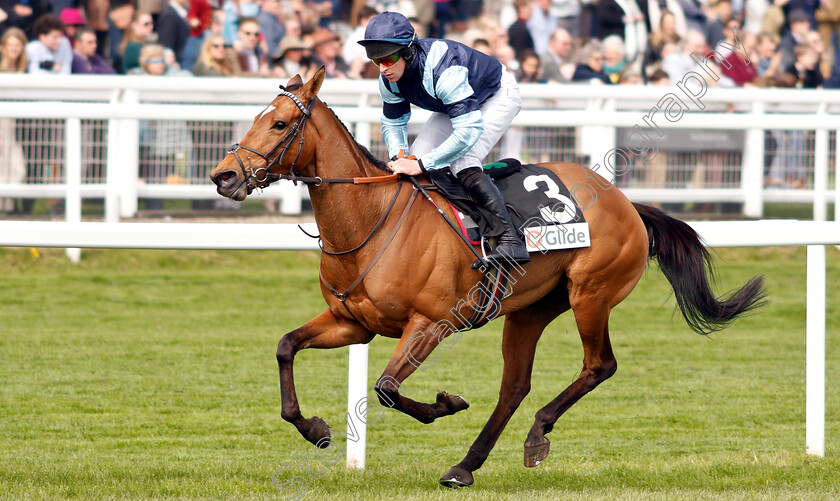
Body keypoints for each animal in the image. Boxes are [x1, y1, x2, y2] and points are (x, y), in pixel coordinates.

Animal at [210, 68, 768, 486]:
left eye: (280, 124)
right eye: (258, 118)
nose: (223, 175)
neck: (372, 222)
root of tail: (627, 203)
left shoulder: (430, 323)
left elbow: (387, 388)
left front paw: (445, 403)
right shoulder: (353, 323)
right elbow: (286, 346)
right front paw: (316, 429)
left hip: (591, 294)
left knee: (599, 365)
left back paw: (536, 436)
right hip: (530, 310)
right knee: (514, 387)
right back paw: (466, 466)